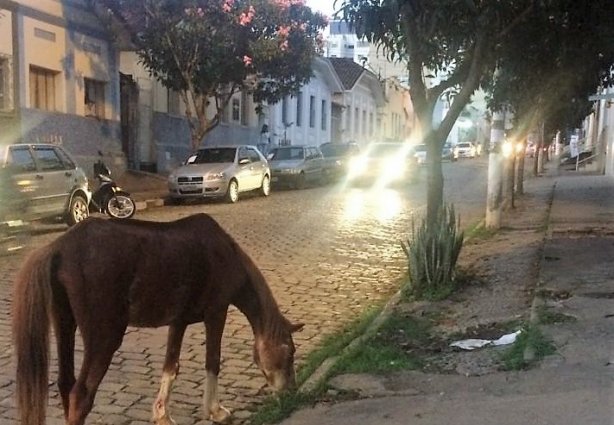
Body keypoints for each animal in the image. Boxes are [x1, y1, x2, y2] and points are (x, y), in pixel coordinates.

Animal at [12, 214, 306, 422]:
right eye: (290, 352)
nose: (292, 391)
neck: (226, 253)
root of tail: (59, 247)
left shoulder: (179, 321)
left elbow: (170, 366)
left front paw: (162, 414)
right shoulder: (216, 312)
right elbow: (213, 361)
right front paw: (215, 411)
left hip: (64, 325)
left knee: (65, 384)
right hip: (104, 339)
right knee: (80, 395)